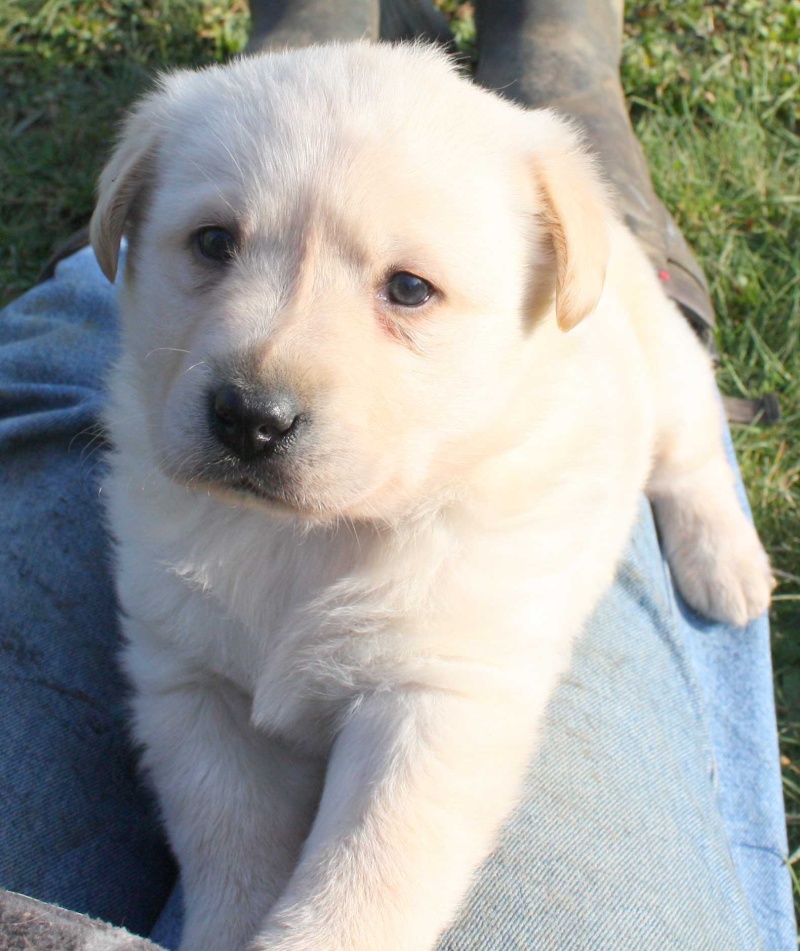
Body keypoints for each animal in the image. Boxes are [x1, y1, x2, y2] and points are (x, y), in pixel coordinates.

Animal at [90, 41, 772, 951]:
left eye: (410, 289)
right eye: (212, 242)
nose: (250, 418)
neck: (307, 539)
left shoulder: (432, 704)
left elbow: (365, 878)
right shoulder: (188, 680)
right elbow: (228, 831)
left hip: (668, 368)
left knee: (693, 460)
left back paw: (726, 566)